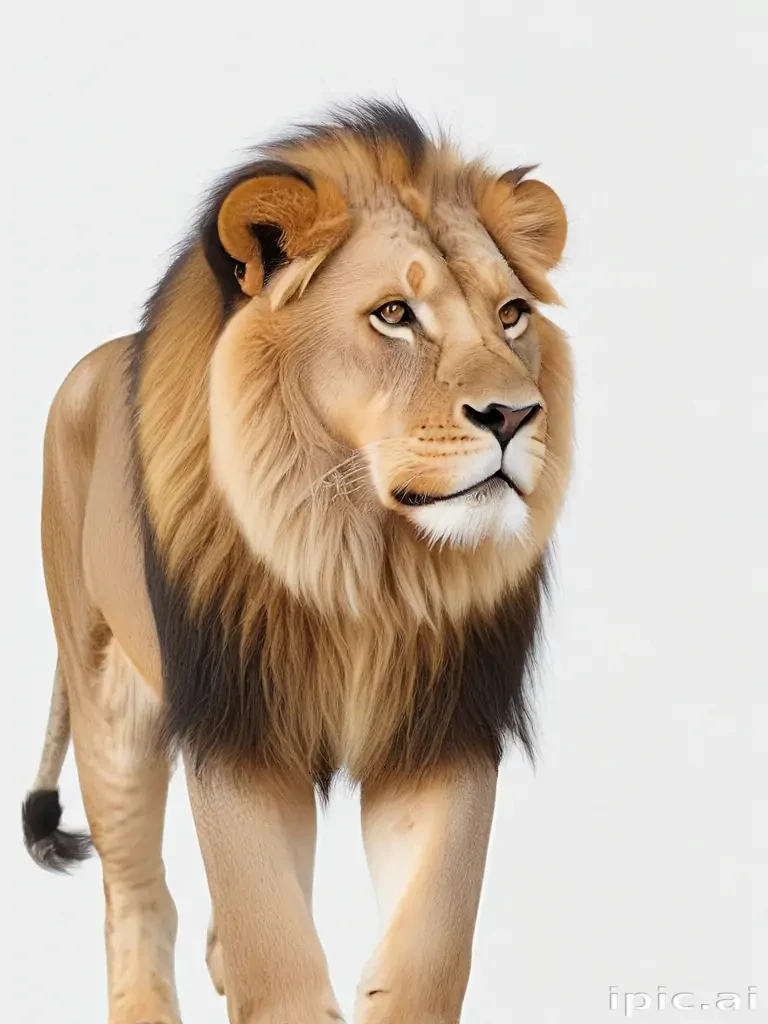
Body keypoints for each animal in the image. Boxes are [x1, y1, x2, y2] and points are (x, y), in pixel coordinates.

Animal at [22, 100, 573, 1023]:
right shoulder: (234, 720)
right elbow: (270, 948)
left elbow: (428, 949)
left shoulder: (443, 725)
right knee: (138, 895)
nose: (514, 415)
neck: (361, 562)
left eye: (510, 315)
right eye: (395, 314)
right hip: (107, 693)